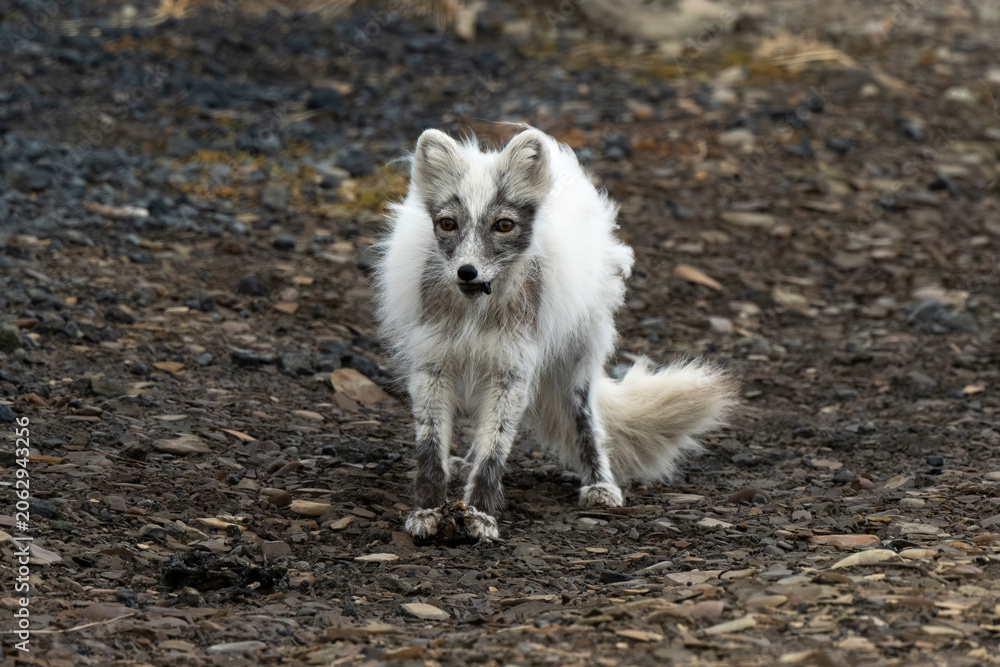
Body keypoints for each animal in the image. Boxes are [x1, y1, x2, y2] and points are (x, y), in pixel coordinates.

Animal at [373, 127, 739, 540]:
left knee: (586, 419)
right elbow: (432, 448)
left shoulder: (513, 370)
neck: (476, 313)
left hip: (575, 364)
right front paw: (428, 510)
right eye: (448, 224)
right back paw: (464, 463)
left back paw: (599, 484)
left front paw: (481, 515)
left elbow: (495, 448)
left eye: (504, 225)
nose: (467, 272)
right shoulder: (433, 366)